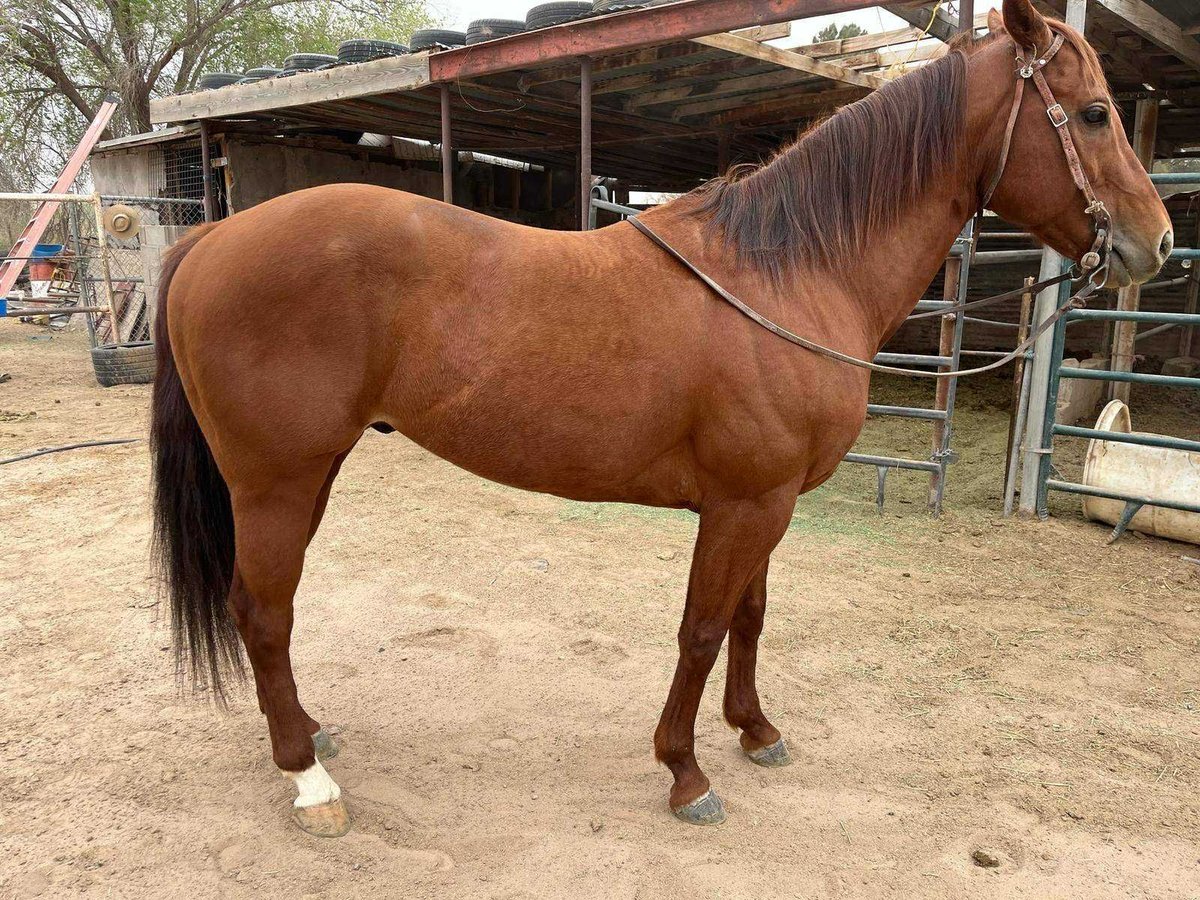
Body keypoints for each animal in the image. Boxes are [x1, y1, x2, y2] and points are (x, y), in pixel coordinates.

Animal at [150, 0, 1171, 837]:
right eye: (1093, 113)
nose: (1155, 242)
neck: (787, 271)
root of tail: (214, 234)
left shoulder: (769, 504)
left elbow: (752, 618)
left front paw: (755, 731)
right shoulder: (743, 505)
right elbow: (703, 629)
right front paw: (685, 773)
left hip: (312, 473)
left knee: (269, 613)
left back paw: (313, 735)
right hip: (276, 481)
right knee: (262, 612)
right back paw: (309, 781)